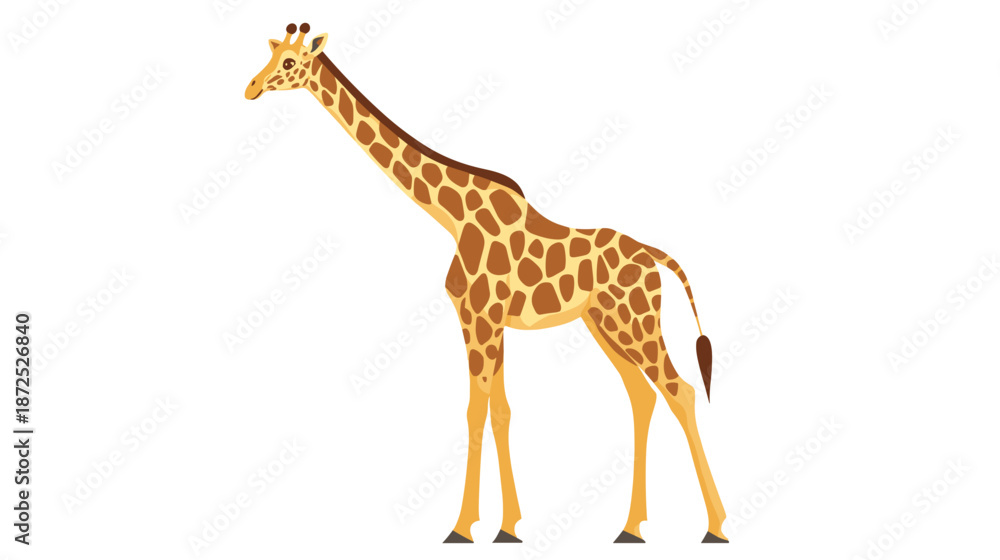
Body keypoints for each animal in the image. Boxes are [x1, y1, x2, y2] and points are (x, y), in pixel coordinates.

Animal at [245, 23, 728, 545]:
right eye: (272, 52)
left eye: (290, 63)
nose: (251, 88)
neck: (453, 215)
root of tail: (654, 256)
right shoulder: (480, 318)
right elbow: (500, 410)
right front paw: (506, 526)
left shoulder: (482, 316)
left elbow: (477, 410)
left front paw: (461, 528)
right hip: (603, 323)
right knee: (642, 395)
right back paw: (631, 527)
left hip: (634, 320)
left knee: (680, 390)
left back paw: (715, 527)